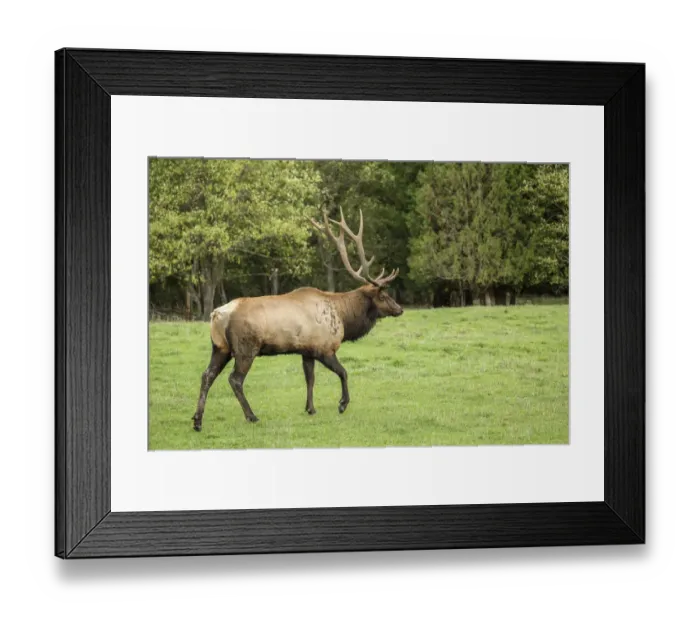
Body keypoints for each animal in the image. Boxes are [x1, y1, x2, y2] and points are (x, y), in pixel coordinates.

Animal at [192, 207, 403, 431]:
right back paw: (251, 416)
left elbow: (310, 379)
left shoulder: (307, 350)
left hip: (220, 347)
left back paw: (197, 420)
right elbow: (343, 372)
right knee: (235, 379)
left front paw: (310, 408)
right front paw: (342, 404)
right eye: (383, 295)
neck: (343, 317)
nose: (400, 309)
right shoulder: (324, 348)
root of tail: (217, 315)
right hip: (246, 347)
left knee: (207, 375)